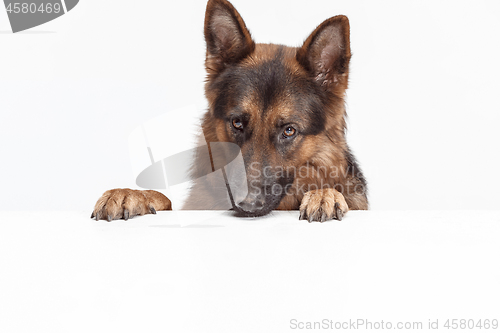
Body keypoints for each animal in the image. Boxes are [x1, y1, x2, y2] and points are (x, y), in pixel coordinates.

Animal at [92, 0, 370, 223]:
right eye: (237, 122)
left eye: (289, 130)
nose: (247, 205)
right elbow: (166, 200)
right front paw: (132, 194)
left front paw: (325, 194)